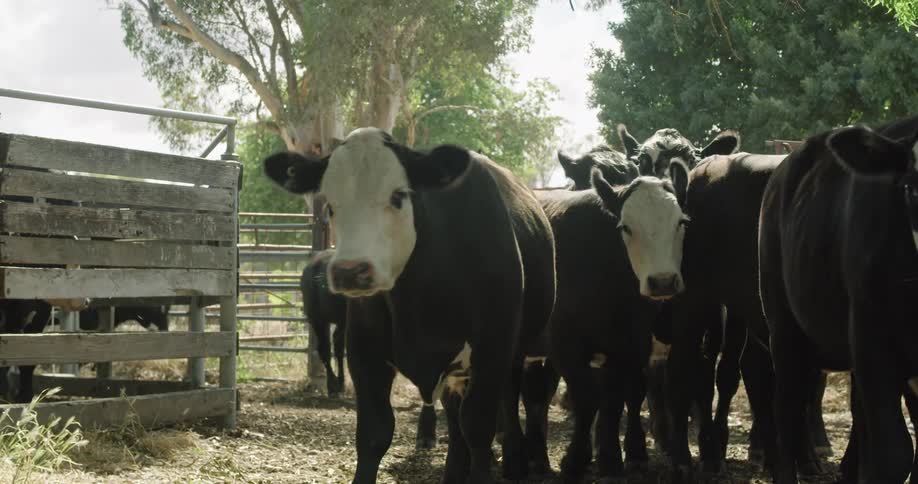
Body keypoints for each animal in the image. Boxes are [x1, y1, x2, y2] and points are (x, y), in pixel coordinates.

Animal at [263, 127, 557, 483]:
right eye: (330, 204)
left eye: (398, 195)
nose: (350, 270)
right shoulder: (364, 352)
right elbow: (374, 434)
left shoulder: (493, 350)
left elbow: (478, 429)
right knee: (454, 419)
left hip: (513, 354)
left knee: (504, 406)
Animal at [537, 168, 686, 482]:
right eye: (626, 227)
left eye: (681, 222)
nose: (663, 281)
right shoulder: (565, 344)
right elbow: (587, 397)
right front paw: (575, 460)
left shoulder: (631, 343)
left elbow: (616, 398)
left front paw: (610, 458)